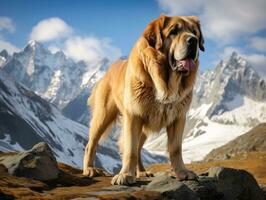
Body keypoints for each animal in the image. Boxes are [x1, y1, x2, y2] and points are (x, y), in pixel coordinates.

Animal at [82, 14, 204, 186]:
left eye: (194, 33)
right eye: (174, 31)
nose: (192, 41)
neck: (164, 80)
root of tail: (107, 73)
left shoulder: (178, 118)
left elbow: (175, 149)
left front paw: (182, 172)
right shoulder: (134, 116)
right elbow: (130, 149)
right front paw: (125, 175)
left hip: (144, 126)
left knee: (139, 148)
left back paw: (141, 172)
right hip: (103, 116)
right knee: (91, 144)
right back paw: (89, 169)